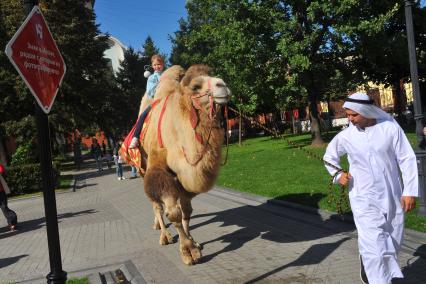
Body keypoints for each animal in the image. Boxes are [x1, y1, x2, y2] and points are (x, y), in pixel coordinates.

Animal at [128, 63, 231, 264]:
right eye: (196, 87)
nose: (222, 85)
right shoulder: (159, 167)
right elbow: (173, 213)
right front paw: (188, 251)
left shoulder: (184, 176)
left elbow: (186, 211)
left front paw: (193, 242)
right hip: (142, 169)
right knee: (156, 205)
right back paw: (164, 236)